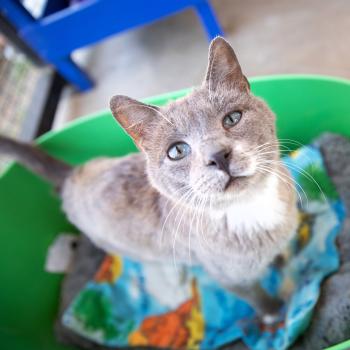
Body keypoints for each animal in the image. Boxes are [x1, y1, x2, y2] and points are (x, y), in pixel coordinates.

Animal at [0, 37, 296, 320]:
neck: (249, 209)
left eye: (233, 118)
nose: (218, 156)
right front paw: (274, 312)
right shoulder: (229, 277)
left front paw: (280, 261)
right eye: (177, 151)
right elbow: (256, 296)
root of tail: (73, 173)